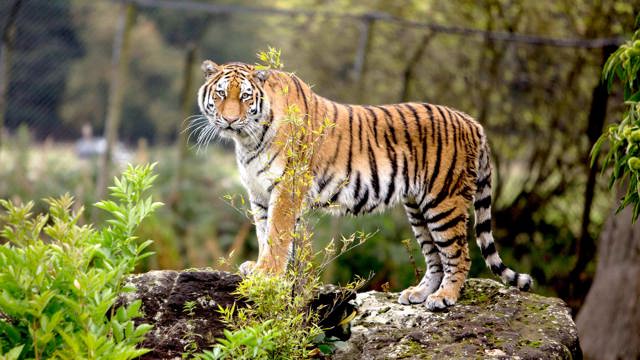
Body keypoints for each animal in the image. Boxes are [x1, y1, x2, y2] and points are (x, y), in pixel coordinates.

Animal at [192, 60, 532, 310]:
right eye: (220, 94)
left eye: (245, 96)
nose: (230, 120)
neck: (246, 139)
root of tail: (473, 122)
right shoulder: (260, 193)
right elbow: (265, 234)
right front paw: (262, 268)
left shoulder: (287, 187)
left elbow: (277, 236)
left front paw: (267, 273)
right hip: (418, 207)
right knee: (435, 257)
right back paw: (418, 294)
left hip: (444, 201)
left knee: (459, 254)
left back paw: (444, 298)